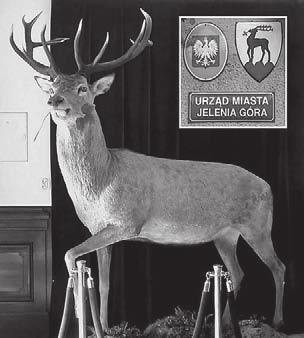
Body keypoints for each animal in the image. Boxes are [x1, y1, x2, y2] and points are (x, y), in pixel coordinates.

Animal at [10, 8, 284, 330]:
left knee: (278, 266)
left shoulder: (128, 221)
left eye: (82, 88)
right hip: (224, 234)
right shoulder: (99, 227)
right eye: (53, 86)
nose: (54, 100)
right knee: (238, 272)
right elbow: (103, 282)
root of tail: (268, 186)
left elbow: (68, 254)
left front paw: (80, 315)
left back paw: (277, 321)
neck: (102, 180)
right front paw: (102, 326)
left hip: (258, 225)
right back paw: (225, 323)